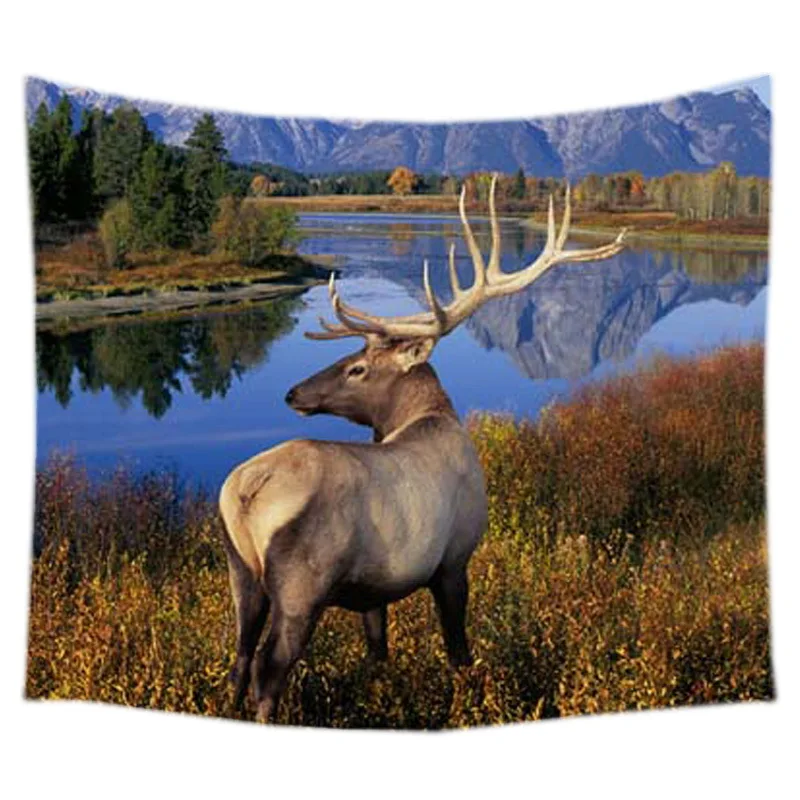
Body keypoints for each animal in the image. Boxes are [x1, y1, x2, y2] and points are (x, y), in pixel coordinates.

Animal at [218, 175, 626, 723]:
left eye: (357, 367)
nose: (293, 393)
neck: (431, 417)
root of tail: (245, 492)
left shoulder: (373, 589)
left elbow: (378, 652)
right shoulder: (454, 560)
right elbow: (459, 652)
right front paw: (470, 701)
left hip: (242, 571)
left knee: (240, 657)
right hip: (302, 584)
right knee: (268, 668)